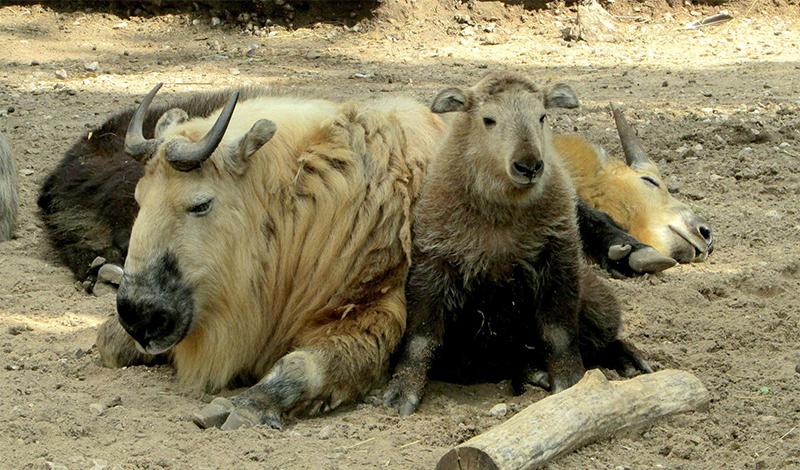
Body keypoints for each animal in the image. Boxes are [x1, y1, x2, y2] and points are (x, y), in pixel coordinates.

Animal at [384, 73, 652, 414]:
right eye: (488, 119)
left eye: (542, 116)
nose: (529, 166)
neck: (501, 214)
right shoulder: (432, 265)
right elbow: (421, 338)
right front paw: (401, 393)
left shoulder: (558, 259)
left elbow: (559, 333)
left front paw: (571, 383)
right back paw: (535, 372)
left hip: (596, 299)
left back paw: (628, 360)